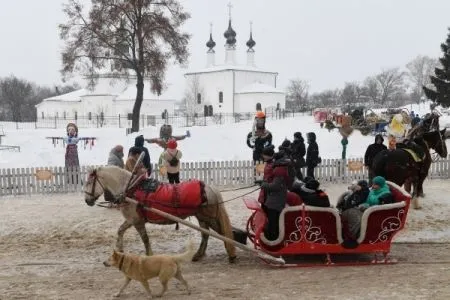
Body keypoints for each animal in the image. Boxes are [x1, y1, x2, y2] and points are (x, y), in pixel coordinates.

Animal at [85, 166, 239, 262]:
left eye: (89, 182)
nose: (87, 200)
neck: (130, 189)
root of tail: (209, 187)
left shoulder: (136, 221)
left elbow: (145, 239)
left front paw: (149, 255)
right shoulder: (132, 220)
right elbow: (120, 230)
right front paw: (120, 249)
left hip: (208, 217)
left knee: (219, 233)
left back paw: (230, 253)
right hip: (203, 218)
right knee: (206, 235)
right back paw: (199, 255)